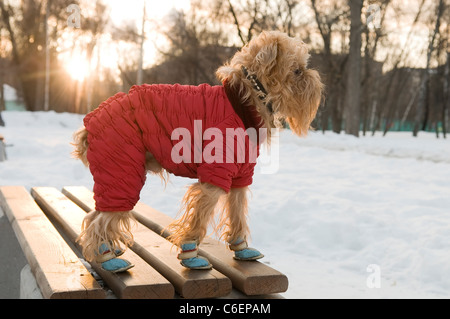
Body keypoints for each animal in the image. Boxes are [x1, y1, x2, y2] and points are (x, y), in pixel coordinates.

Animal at [72, 30, 322, 272]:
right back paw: (108, 259)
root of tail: (91, 124)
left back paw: (110, 249)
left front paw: (241, 247)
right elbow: (199, 216)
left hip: (116, 176)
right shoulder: (215, 174)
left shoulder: (241, 175)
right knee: (98, 221)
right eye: (297, 71)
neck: (246, 101)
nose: (316, 81)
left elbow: (237, 211)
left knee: (95, 214)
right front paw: (190, 254)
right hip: (123, 175)